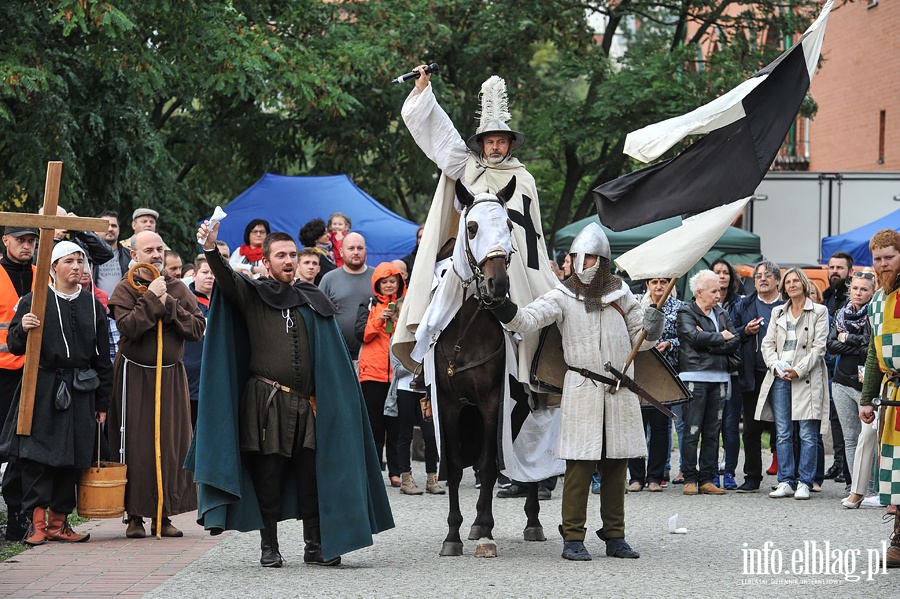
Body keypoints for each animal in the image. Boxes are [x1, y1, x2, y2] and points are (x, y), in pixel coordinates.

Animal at [432, 177, 544, 556]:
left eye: (509, 225)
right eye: (472, 227)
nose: (498, 285)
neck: (467, 334)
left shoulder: (494, 402)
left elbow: (487, 464)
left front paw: (483, 529)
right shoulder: (449, 404)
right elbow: (454, 466)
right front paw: (453, 534)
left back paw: (533, 521)